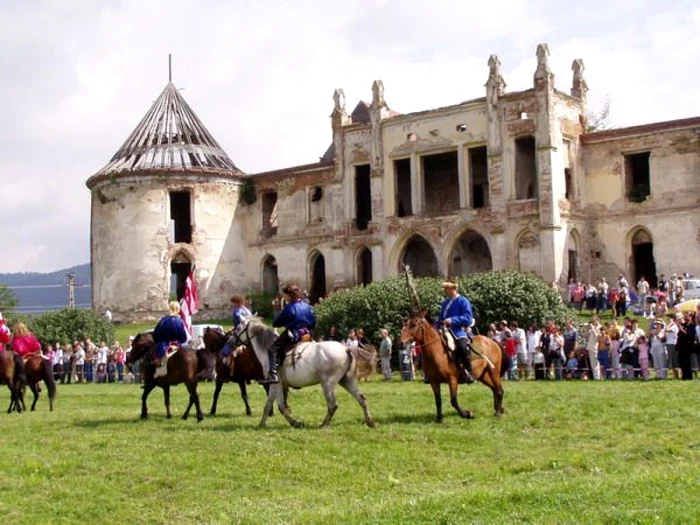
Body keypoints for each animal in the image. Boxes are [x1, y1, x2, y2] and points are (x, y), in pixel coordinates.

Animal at [231, 318, 378, 428]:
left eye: (238, 329)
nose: (232, 341)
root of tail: (346, 348)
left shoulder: (276, 384)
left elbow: (280, 407)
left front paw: (295, 423)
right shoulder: (275, 385)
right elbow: (268, 406)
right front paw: (261, 424)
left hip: (328, 383)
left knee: (332, 404)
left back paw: (323, 424)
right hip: (347, 381)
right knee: (362, 399)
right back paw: (370, 421)